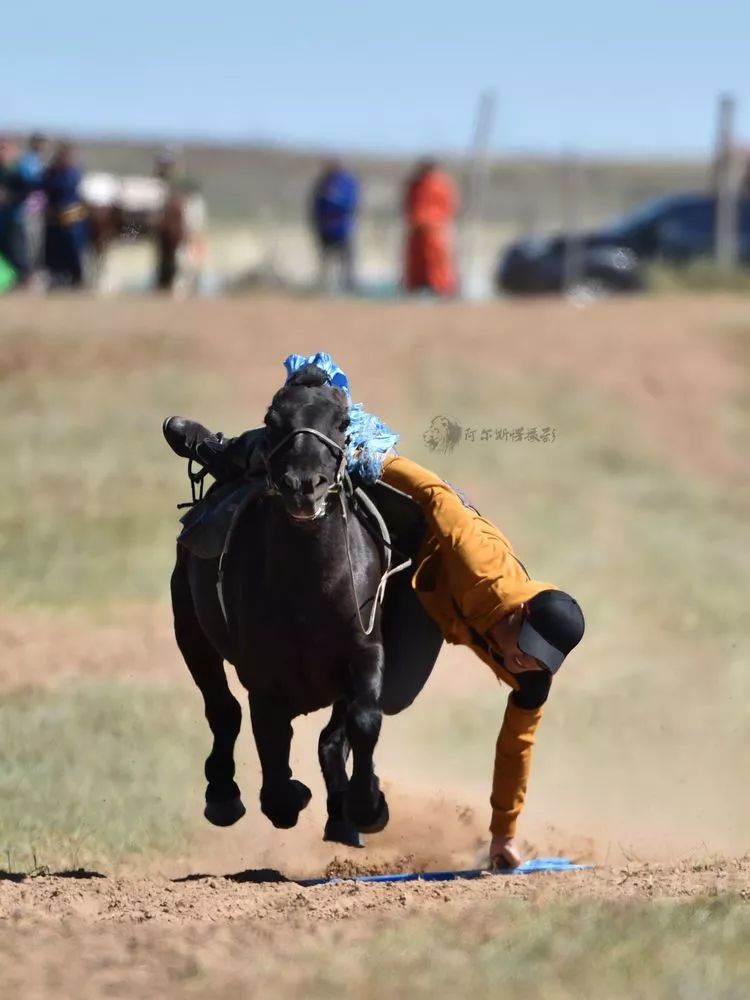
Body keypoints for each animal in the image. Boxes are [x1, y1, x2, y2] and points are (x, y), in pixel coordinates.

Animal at [171, 366, 394, 844]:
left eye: (343, 423)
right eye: (272, 422)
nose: (303, 487)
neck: (309, 589)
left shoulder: (364, 646)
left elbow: (363, 719)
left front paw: (367, 806)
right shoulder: (263, 676)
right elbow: (271, 755)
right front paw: (292, 793)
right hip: (189, 628)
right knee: (222, 708)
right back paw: (223, 793)